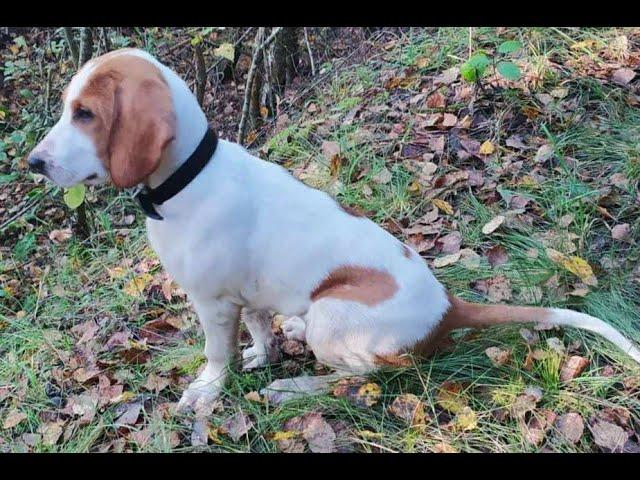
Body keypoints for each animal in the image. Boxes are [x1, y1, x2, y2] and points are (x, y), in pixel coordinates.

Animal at [27, 47, 640, 408]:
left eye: (86, 114)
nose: (33, 163)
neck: (187, 179)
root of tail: (448, 309)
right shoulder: (248, 296)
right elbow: (260, 332)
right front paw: (263, 353)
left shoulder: (214, 303)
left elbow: (217, 354)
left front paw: (208, 389)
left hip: (333, 315)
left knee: (370, 378)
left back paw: (296, 387)